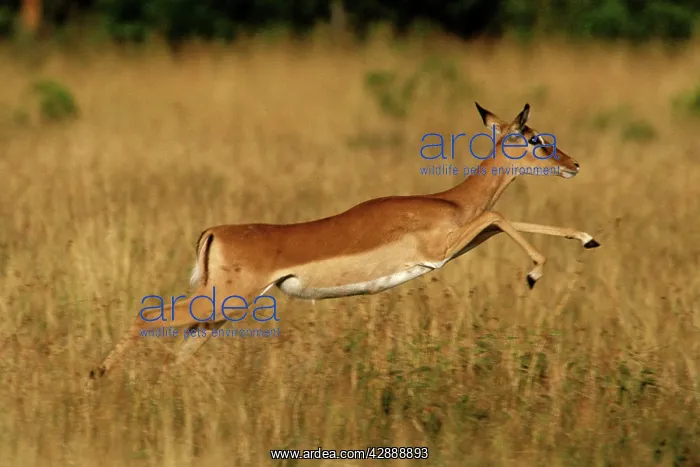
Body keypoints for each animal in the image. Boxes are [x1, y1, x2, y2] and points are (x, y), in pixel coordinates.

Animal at [87, 102, 600, 385]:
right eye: (535, 140)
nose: (574, 164)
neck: (449, 200)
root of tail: (214, 231)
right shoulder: (439, 251)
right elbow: (498, 215)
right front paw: (534, 273)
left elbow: (505, 221)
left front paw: (589, 238)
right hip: (221, 301)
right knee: (147, 317)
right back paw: (97, 376)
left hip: (217, 311)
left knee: (178, 350)